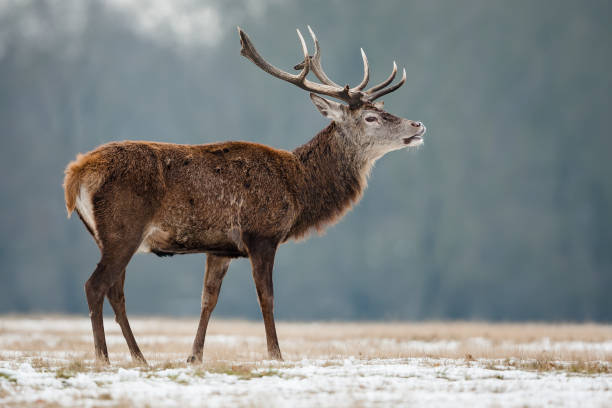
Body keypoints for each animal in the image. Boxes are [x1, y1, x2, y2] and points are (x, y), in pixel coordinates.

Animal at [62, 27, 426, 364]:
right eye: (371, 117)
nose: (418, 125)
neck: (298, 189)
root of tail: (76, 173)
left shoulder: (220, 247)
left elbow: (208, 299)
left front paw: (194, 356)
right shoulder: (261, 234)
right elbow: (267, 296)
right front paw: (276, 354)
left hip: (105, 235)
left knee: (116, 291)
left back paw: (139, 357)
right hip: (123, 228)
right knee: (95, 285)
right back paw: (103, 357)